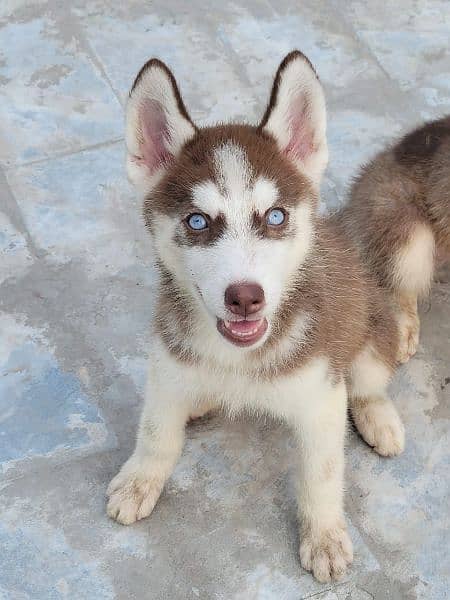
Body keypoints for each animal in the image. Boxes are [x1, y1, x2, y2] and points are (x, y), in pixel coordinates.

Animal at [108, 50, 404, 580]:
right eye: (197, 221)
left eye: (275, 216)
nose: (245, 298)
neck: (237, 359)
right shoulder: (167, 364)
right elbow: (156, 432)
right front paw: (139, 479)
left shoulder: (321, 396)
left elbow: (321, 475)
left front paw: (324, 535)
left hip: (371, 336)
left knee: (369, 383)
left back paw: (378, 416)